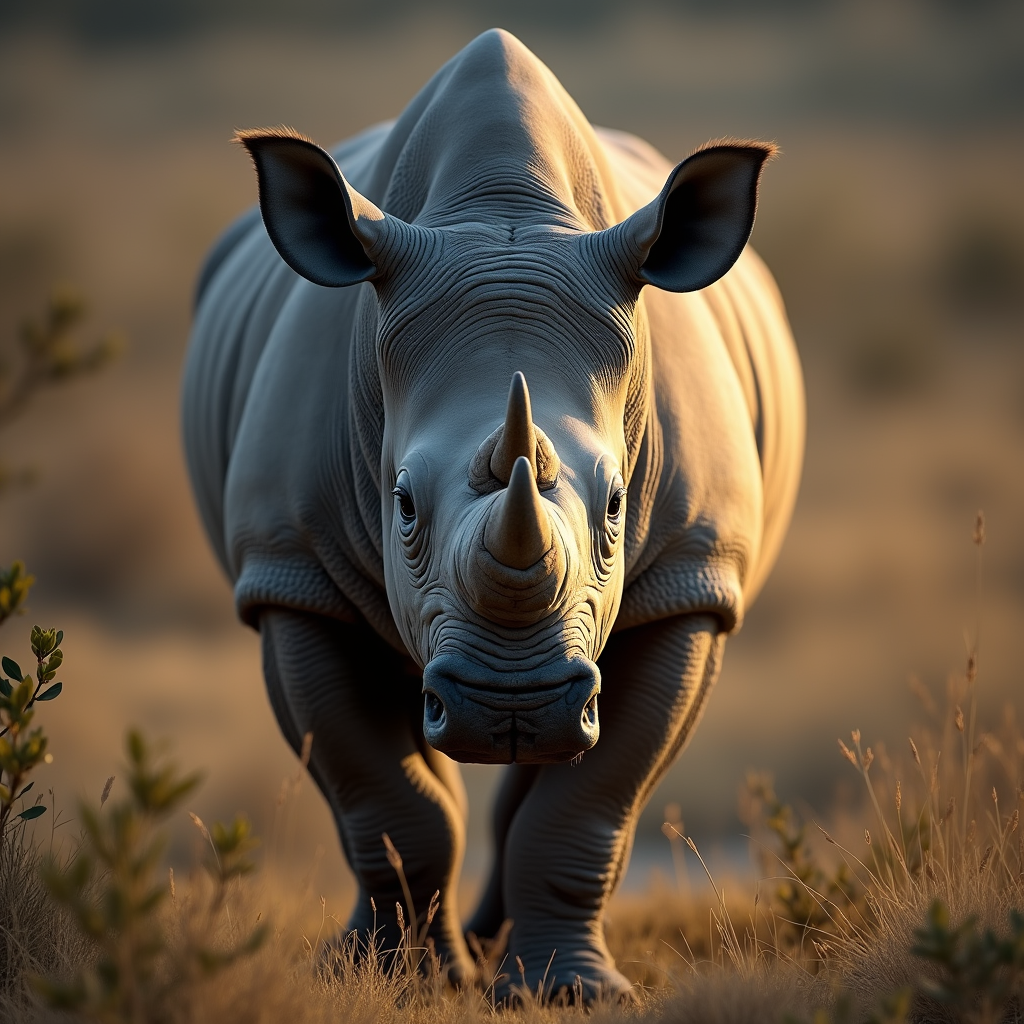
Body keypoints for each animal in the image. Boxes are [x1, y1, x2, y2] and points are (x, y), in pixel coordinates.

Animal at [182, 28, 804, 1000]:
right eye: (400, 502)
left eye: (619, 503)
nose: (512, 705)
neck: (505, 214)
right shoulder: (289, 570)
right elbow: (386, 796)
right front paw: (389, 982)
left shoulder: (693, 577)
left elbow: (592, 799)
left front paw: (570, 994)